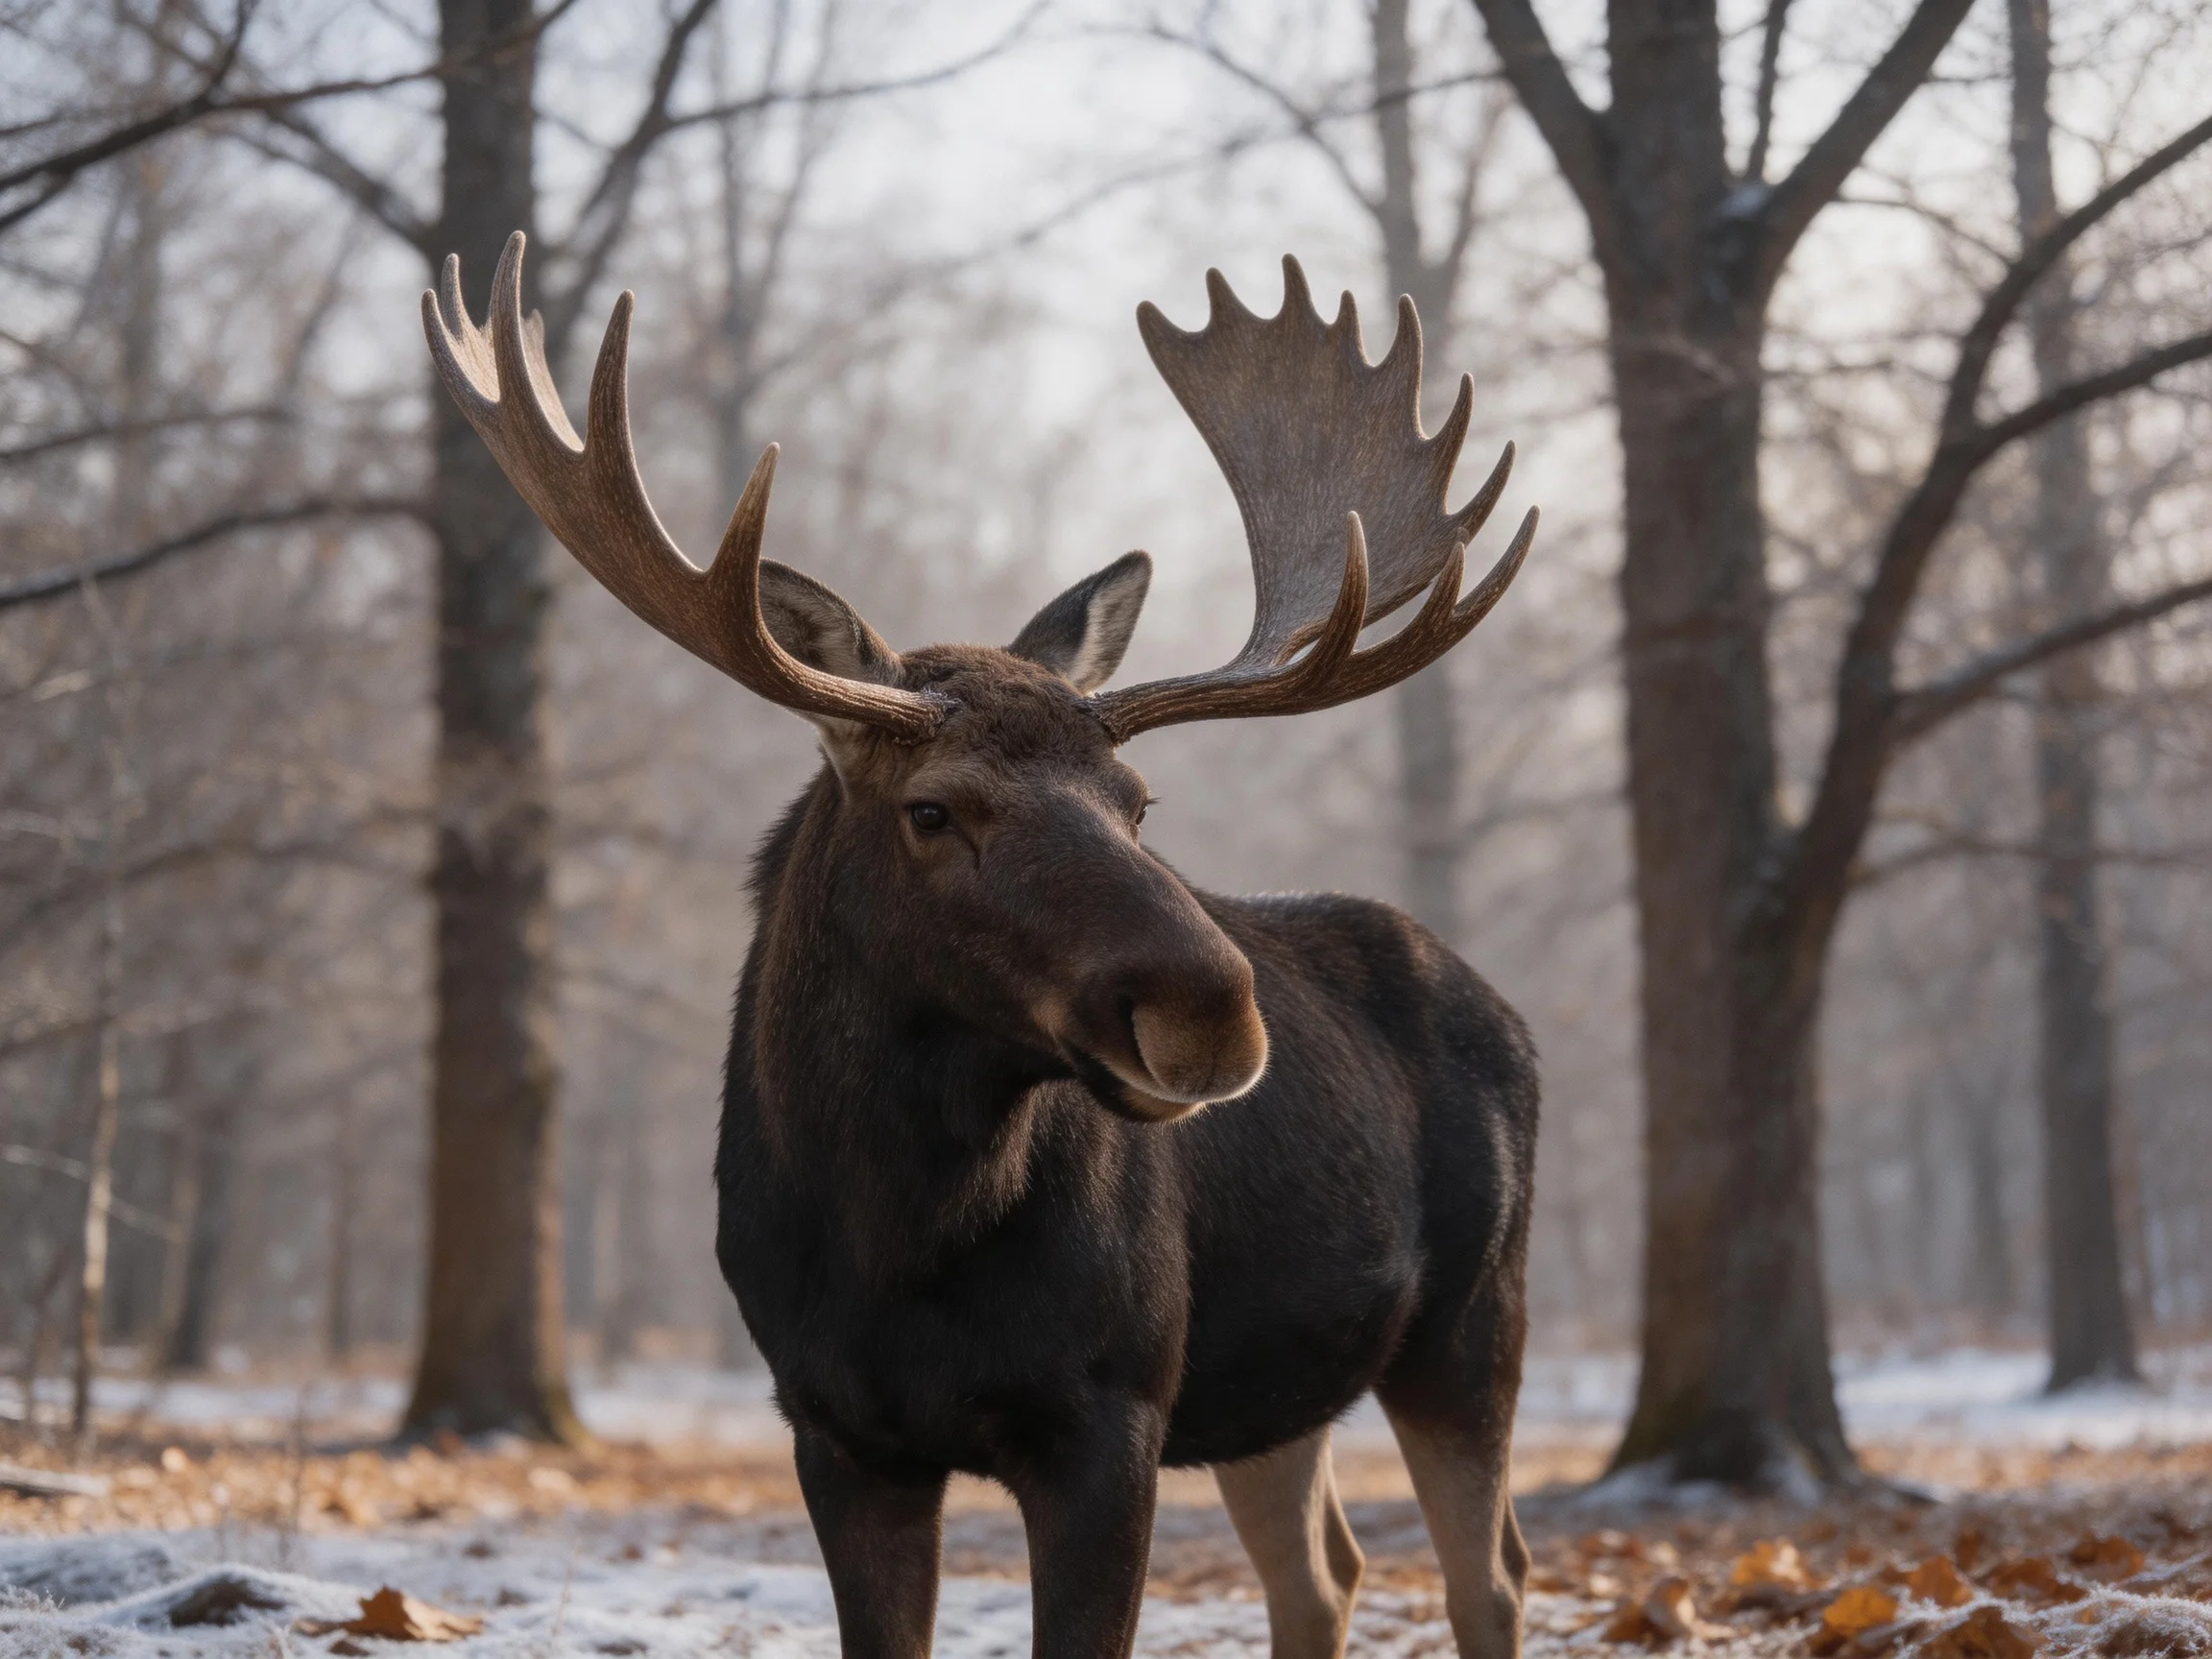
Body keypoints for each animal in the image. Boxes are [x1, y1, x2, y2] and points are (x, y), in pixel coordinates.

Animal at [425, 232, 1542, 1659]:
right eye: (934, 808)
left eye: (1137, 802)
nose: (1214, 1011)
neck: (896, 1245)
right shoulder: (836, 1431)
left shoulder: (1111, 1412)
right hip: (1275, 1383)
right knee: (1326, 1571)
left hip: (1470, 1316)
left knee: (1488, 1573)